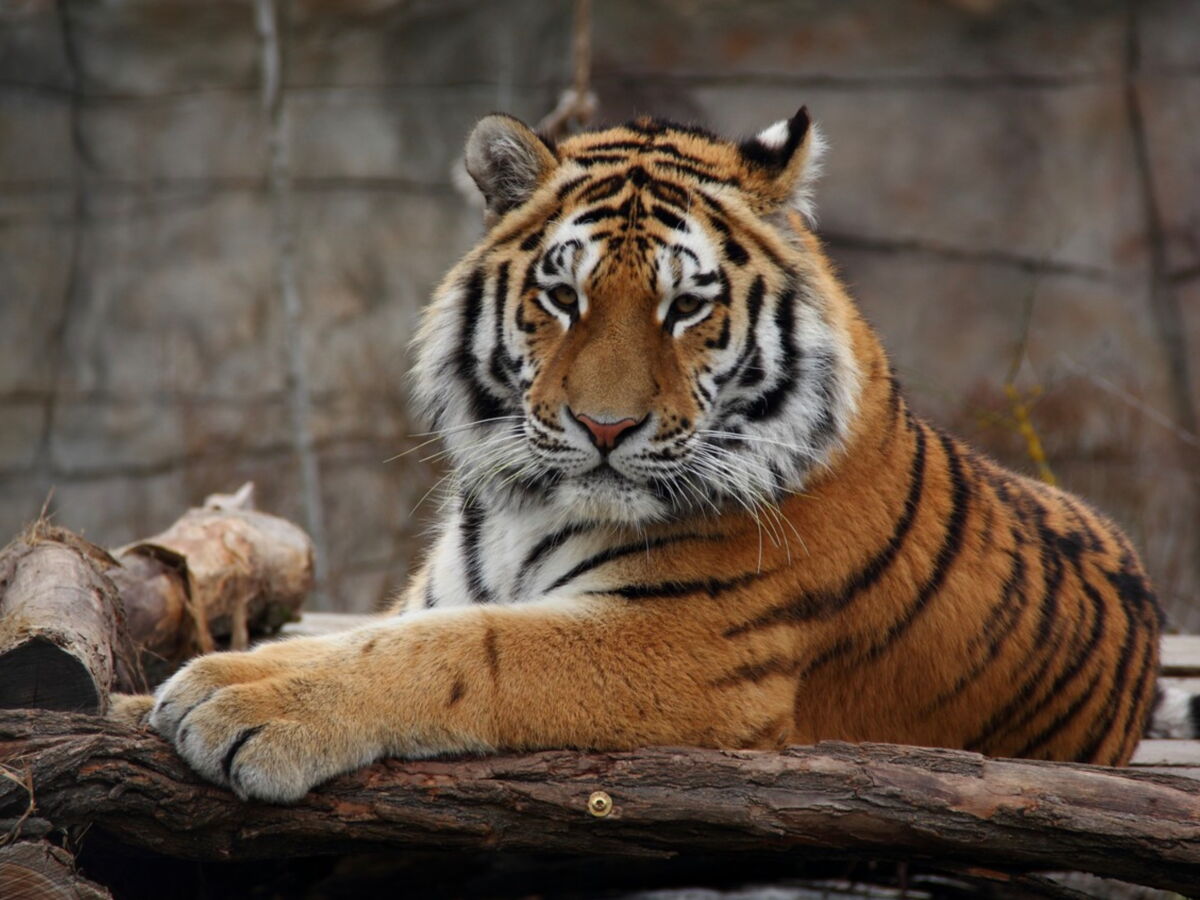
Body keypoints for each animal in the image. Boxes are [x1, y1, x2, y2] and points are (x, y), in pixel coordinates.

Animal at [115, 107, 1177, 804]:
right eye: (564, 297)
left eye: (687, 306)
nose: (605, 428)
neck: (528, 506)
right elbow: (377, 631)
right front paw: (156, 698)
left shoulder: (682, 647)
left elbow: (468, 651)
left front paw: (235, 700)